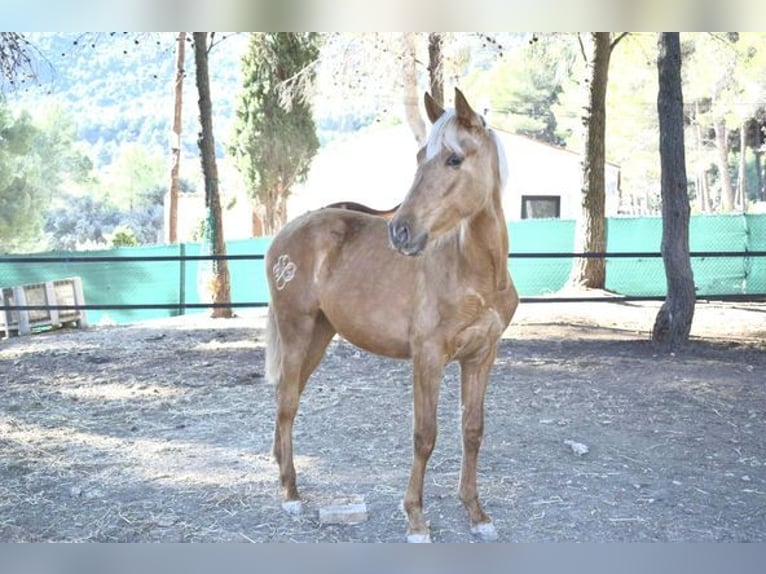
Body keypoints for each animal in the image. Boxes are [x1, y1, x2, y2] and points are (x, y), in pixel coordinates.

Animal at [266, 88, 520, 544]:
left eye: (454, 158)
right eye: (420, 155)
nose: (400, 231)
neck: (473, 273)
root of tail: (285, 233)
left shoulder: (481, 356)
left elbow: (472, 431)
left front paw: (476, 513)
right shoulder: (428, 358)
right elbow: (425, 435)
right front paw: (415, 518)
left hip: (318, 337)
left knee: (286, 396)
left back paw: (282, 470)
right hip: (296, 332)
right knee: (287, 405)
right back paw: (290, 492)